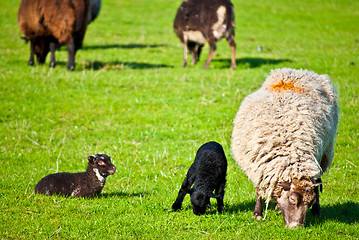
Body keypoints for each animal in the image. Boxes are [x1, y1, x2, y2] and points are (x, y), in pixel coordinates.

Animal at [232, 68, 338, 229]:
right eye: (292, 200)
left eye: (309, 202)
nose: (296, 227)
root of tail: (298, 71)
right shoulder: (257, 166)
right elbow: (258, 190)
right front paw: (257, 213)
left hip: (324, 151)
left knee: (317, 180)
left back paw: (317, 211)